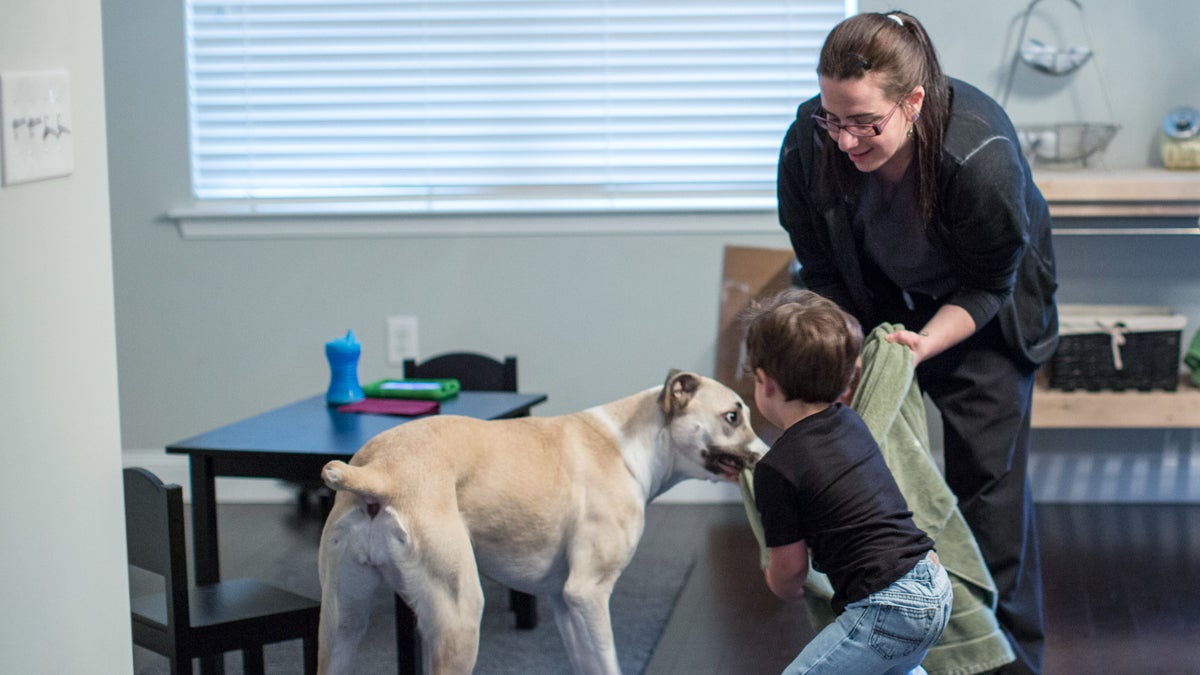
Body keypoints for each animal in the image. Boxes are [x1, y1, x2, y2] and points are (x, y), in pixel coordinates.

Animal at [316, 369, 768, 667]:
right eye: (732, 416)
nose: (767, 457)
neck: (630, 444)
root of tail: (380, 474)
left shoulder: (565, 604)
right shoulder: (588, 594)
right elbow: (609, 663)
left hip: (342, 624)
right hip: (458, 616)